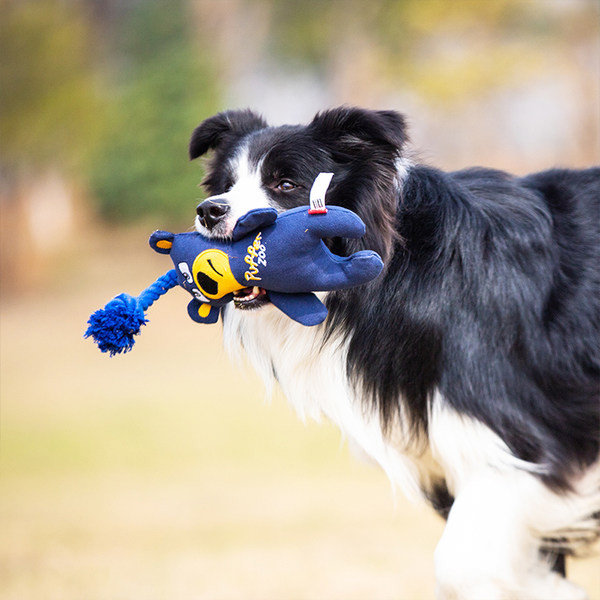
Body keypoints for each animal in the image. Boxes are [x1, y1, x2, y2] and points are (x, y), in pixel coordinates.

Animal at [189, 108, 600, 600]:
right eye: (226, 185)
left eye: (285, 184)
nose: (209, 212)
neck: (398, 268)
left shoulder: (516, 432)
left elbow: (458, 563)